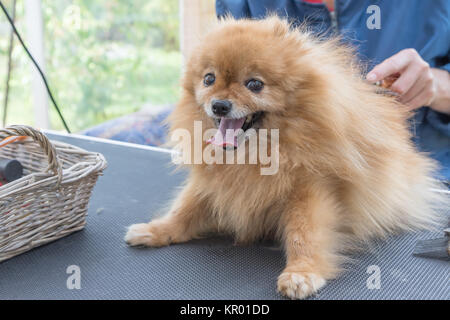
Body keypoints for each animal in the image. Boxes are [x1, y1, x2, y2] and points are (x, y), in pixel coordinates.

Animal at [125, 16, 444, 298]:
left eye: (254, 84)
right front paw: (157, 230)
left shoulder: (311, 188)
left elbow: (305, 234)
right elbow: (185, 209)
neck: (257, 153)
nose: (219, 105)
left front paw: (302, 272)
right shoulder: (216, 184)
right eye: (208, 79)